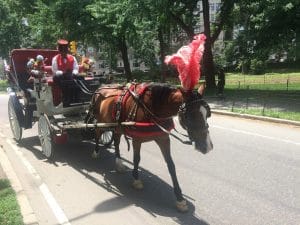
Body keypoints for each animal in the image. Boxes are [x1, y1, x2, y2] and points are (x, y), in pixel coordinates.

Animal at [86, 81, 213, 212]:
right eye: (190, 115)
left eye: (207, 114)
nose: (207, 146)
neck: (152, 108)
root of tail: (101, 87)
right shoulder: (137, 139)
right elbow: (136, 159)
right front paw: (136, 180)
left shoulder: (163, 139)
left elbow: (171, 166)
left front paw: (180, 198)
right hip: (101, 121)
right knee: (97, 133)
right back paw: (96, 152)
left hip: (117, 126)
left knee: (116, 141)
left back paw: (119, 163)